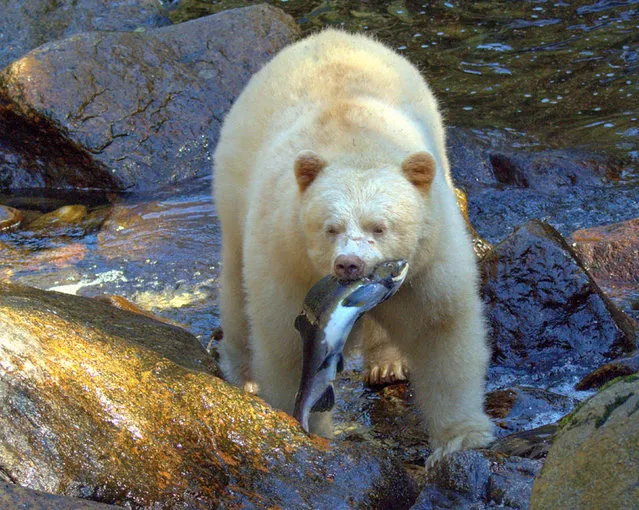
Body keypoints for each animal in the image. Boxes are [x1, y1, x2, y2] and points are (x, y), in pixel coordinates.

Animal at [214, 29, 496, 464]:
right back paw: (242, 376)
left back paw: (386, 364)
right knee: (234, 286)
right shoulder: (286, 255)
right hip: (235, 183)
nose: (349, 264)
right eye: (330, 228)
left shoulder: (429, 256)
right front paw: (305, 426)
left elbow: (441, 329)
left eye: (380, 227)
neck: (357, 143)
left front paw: (463, 436)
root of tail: (328, 35)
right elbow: (286, 344)